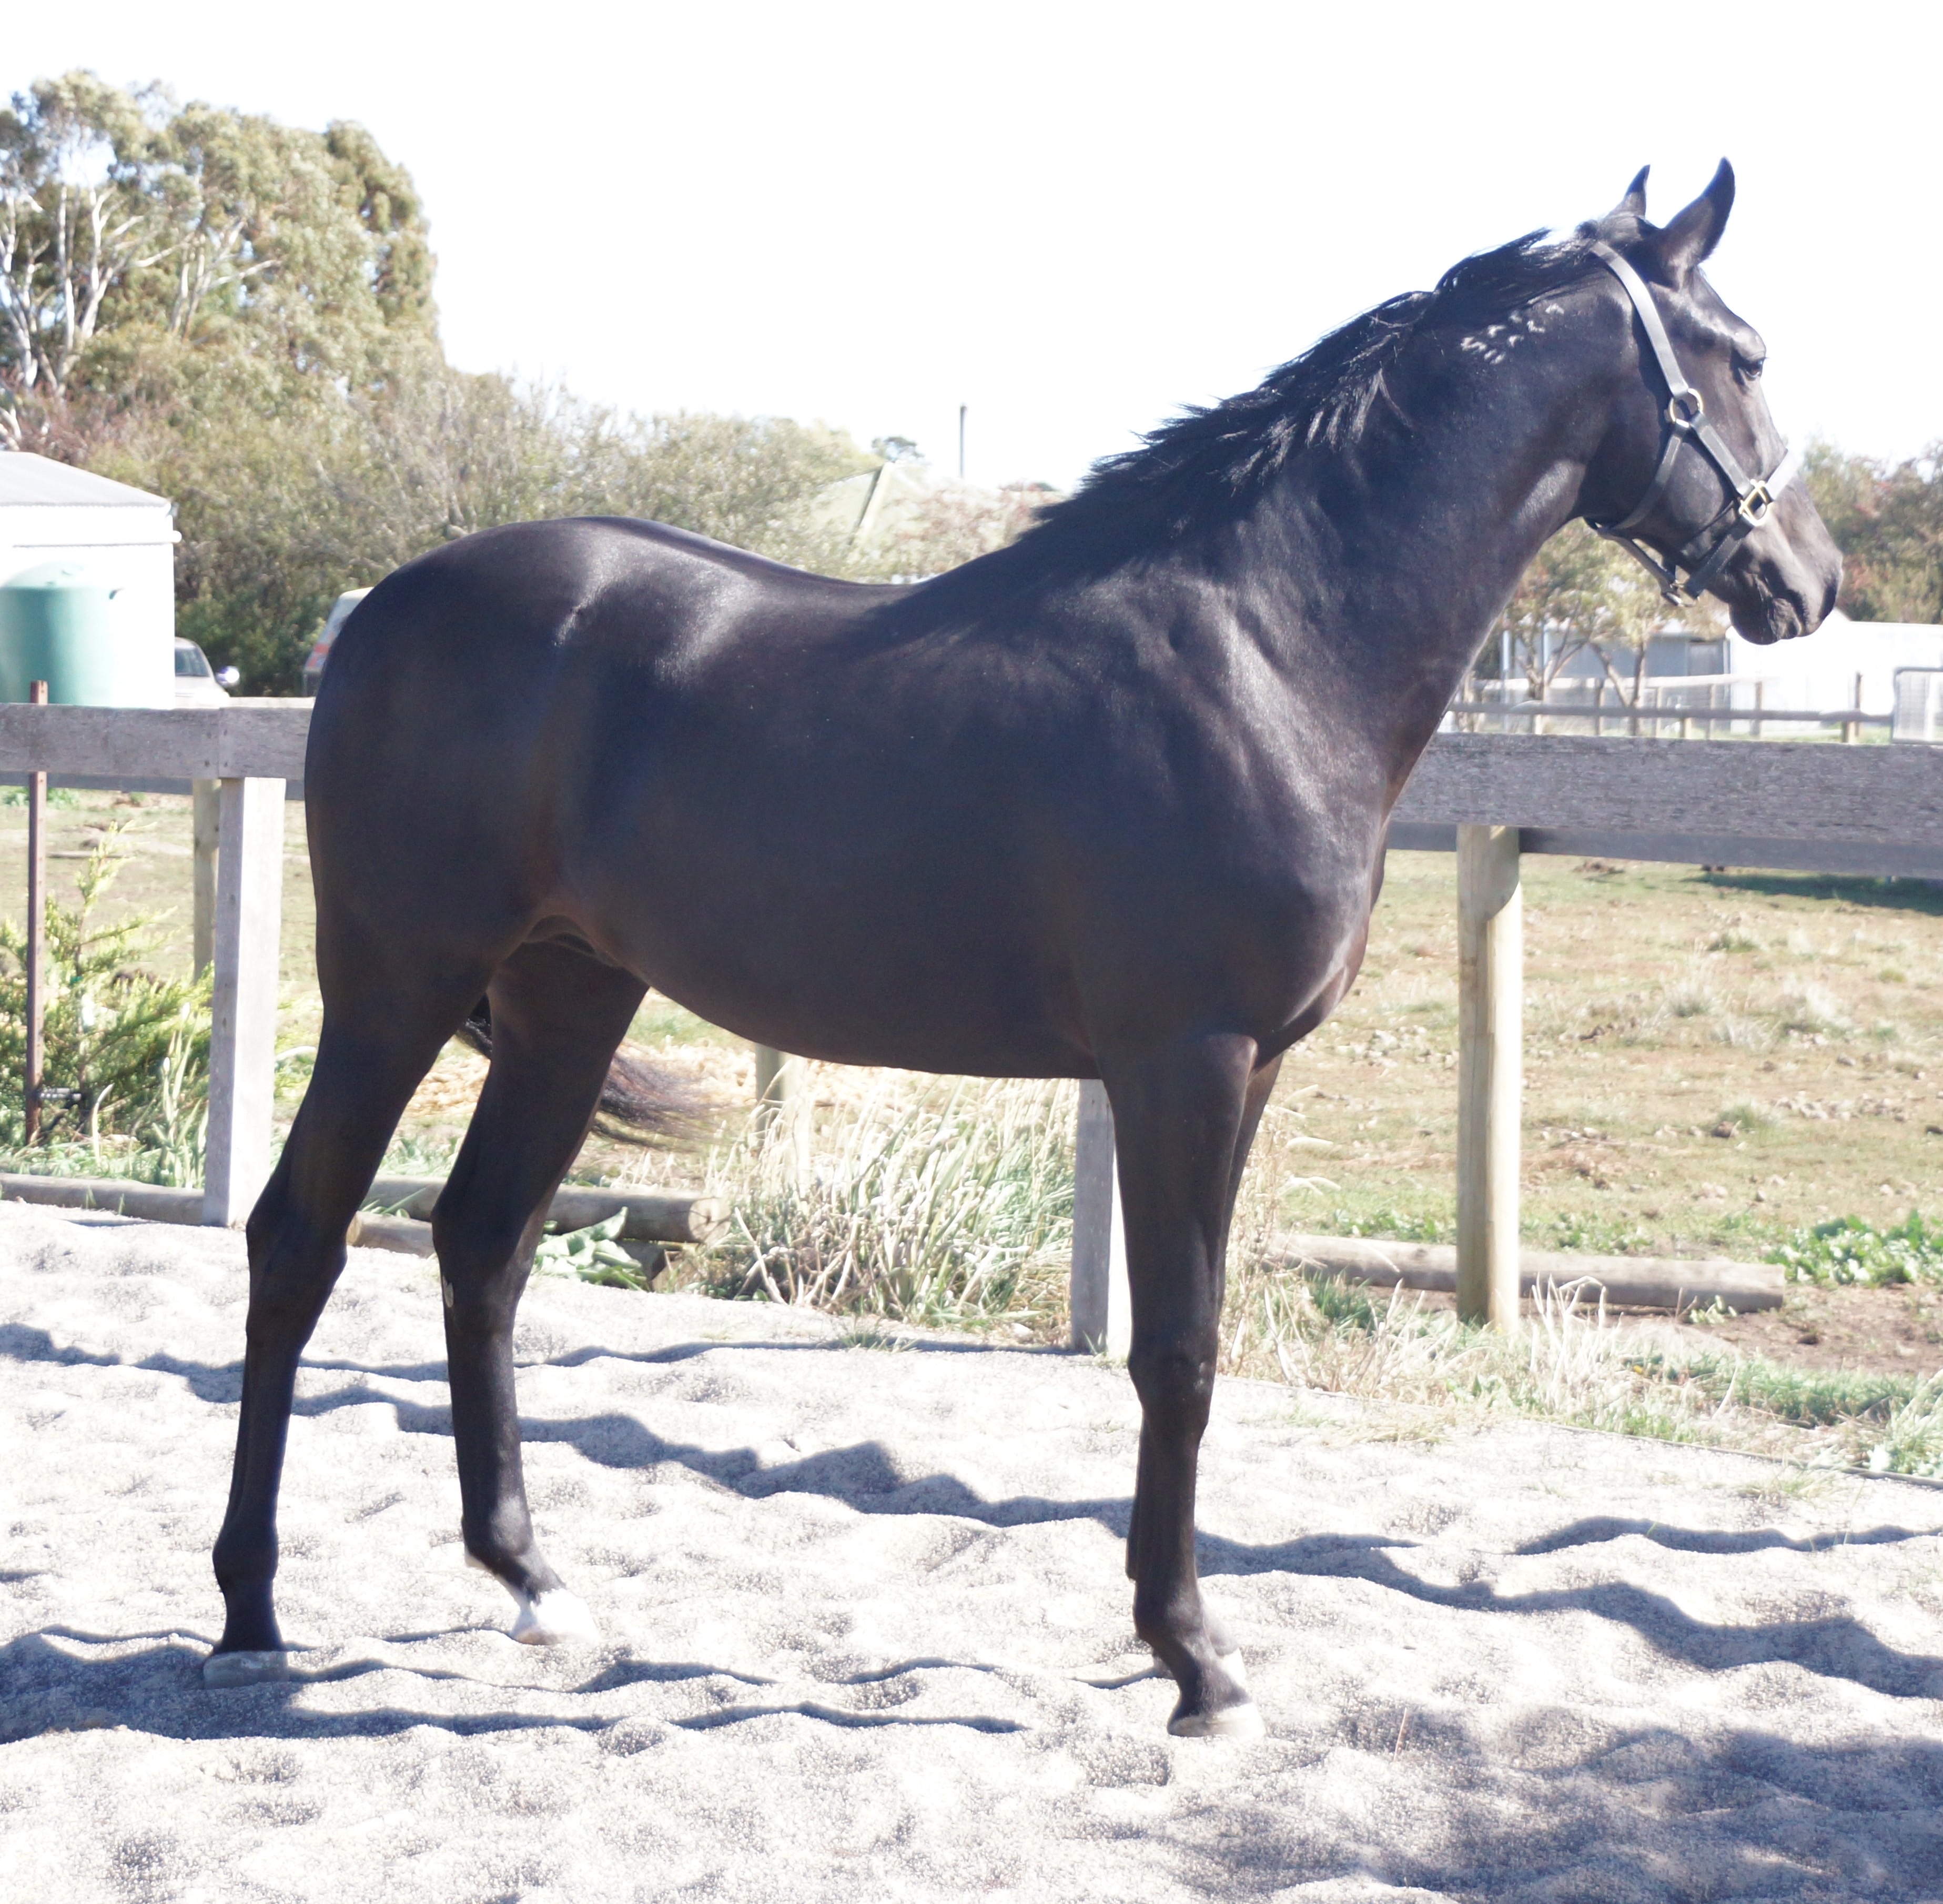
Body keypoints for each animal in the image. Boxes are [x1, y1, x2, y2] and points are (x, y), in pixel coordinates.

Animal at [207, 162, 1840, 1738]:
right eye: (1747, 356)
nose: (1809, 580)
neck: (1267, 647)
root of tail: (379, 613)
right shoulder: (1183, 1063)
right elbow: (1175, 1350)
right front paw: (1194, 1662)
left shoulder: (1241, 1076)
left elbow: (1191, 1342)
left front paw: (1163, 1633)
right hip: (394, 989)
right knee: (296, 1239)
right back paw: (248, 1610)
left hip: (566, 1001)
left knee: (482, 1245)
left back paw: (531, 1580)